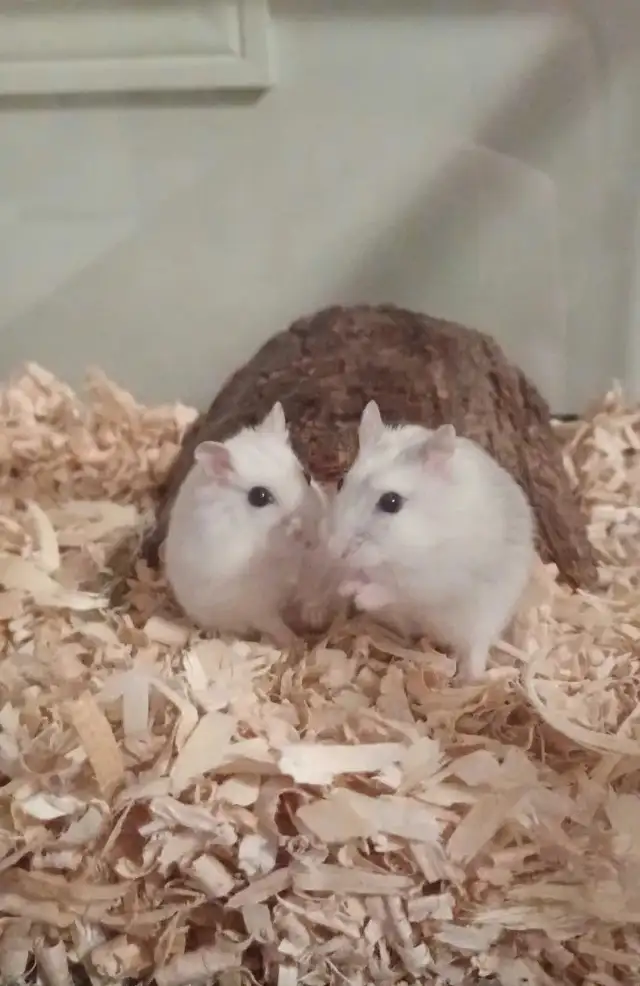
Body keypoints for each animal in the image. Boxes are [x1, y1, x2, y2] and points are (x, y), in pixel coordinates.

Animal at [164, 402, 325, 648]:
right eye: (259, 497)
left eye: (307, 476)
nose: (310, 540)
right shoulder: (253, 600)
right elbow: (273, 623)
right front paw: (295, 644)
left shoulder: (309, 567)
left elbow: (311, 589)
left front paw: (315, 618)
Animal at [326, 401, 535, 680]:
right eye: (340, 483)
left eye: (391, 501)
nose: (336, 551)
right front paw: (347, 588)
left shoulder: (433, 578)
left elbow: (395, 589)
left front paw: (362, 598)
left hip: (482, 622)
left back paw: (470, 679)